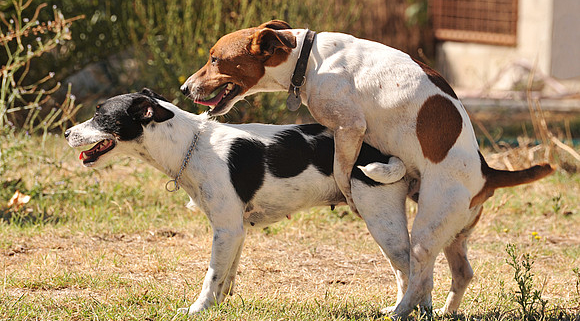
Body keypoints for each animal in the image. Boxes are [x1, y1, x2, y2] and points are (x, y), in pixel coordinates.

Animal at [64, 89, 408, 314]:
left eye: (99, 116)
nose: (66, 132)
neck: (190, 145)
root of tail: (383, 151)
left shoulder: (226, 230)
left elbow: (211, 275)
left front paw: (197, 309)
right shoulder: (236, 231)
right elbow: (226, 275)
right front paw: (217, 306)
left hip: (383, 223)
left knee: (412, 269)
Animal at [180, 20, 552, 318]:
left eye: (215, 59)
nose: (184, 88)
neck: (309, 60)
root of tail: (487, 173)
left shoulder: (350, 128)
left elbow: (342, 170)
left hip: (427, 230)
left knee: (419, 276)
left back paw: (401, 310)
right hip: (453, 235)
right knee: (461, 274)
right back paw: (445, 311)